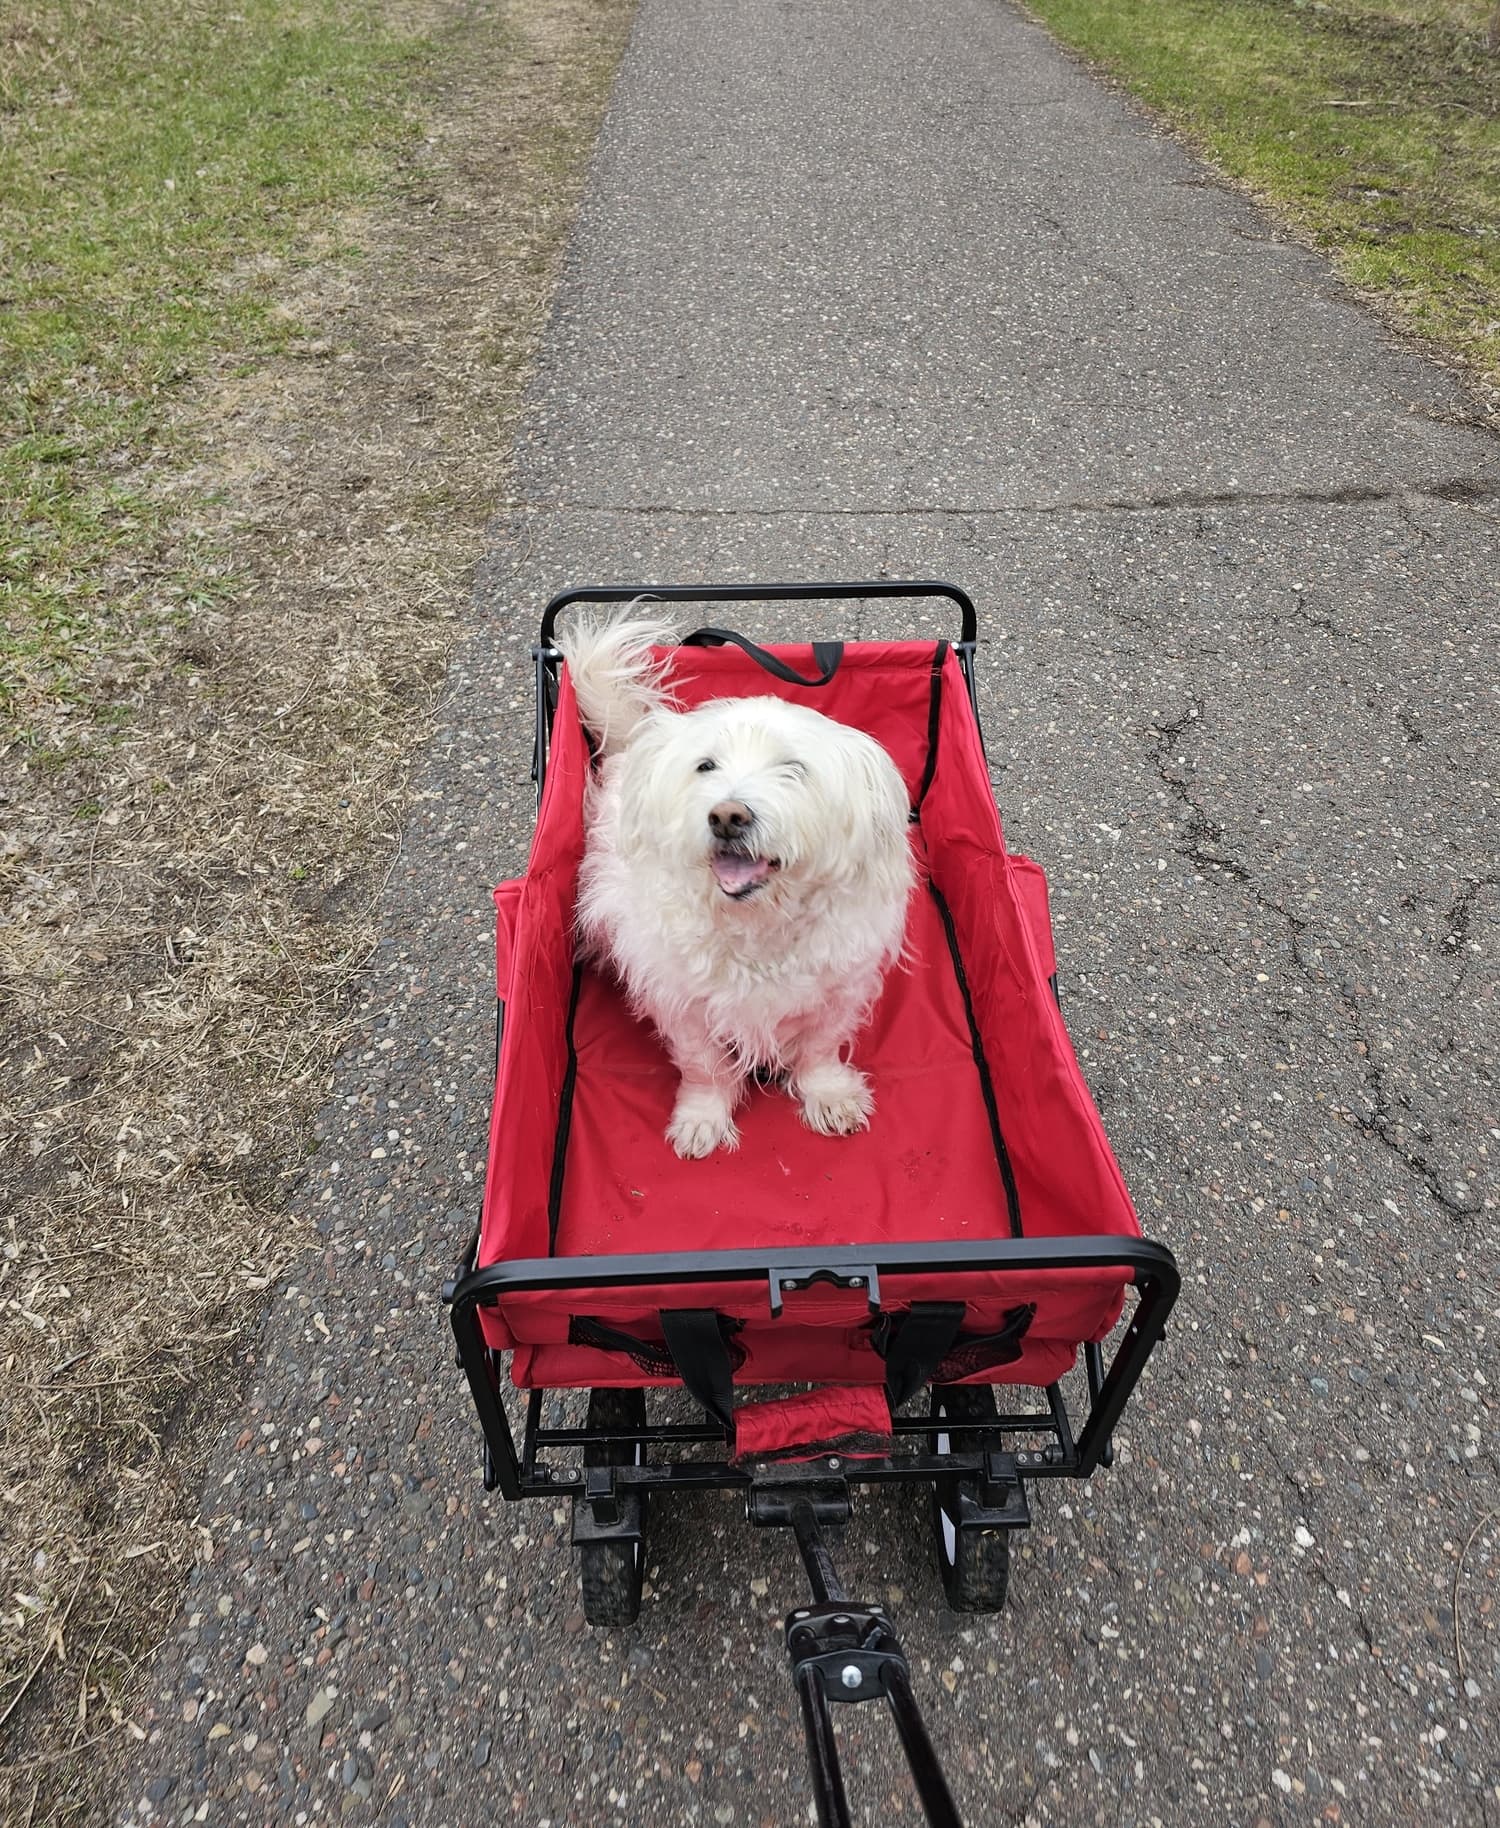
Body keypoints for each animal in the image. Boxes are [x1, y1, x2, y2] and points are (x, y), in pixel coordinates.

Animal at [551, 614, 913, 1155]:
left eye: (794, 769)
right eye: (706, 765)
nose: (727, 816)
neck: (756, 926)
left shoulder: (838, 992)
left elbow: (819, 1050)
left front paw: (828, 1095)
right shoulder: (683, 1004)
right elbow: (705, 1067)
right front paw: (703, 1117)